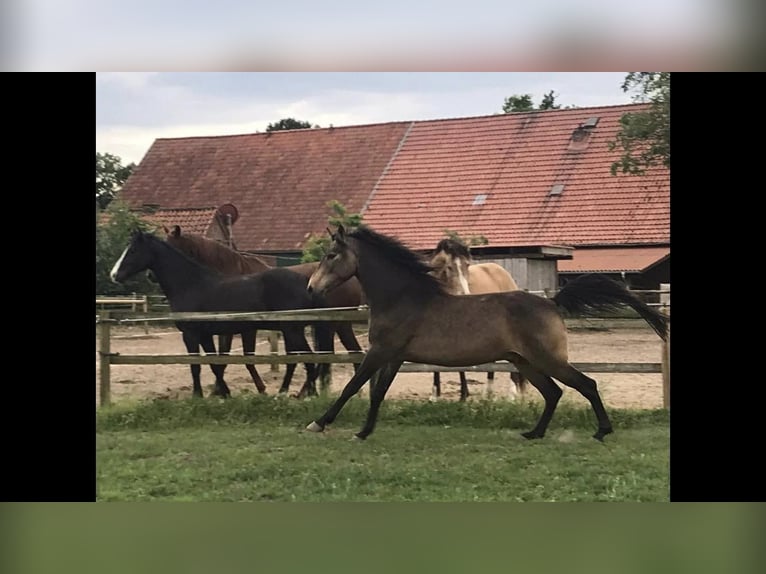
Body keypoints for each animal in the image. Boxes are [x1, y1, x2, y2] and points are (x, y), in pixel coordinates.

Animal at [110, 233, 332, 400]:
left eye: (133, 250)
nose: (114, 275)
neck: (191, 285)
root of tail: (306, 283)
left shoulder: (191, 335)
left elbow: (196, 366)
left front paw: (198, 396)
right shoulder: (206, 335)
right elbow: (215, 364)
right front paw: (224, 394)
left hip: (292, 330)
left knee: (309, 360)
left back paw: (306, 395)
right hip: (291, 330)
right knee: (301, 360)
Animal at [428, 238, 532, 404]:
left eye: (467, 265)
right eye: (449, 267)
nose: (464, 295)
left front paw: (464, 395)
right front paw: (435, 395)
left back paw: (510, 395)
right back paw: (489, 393)